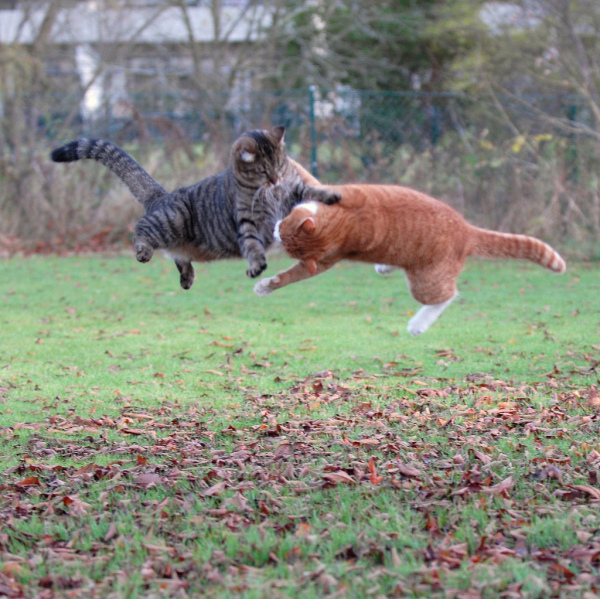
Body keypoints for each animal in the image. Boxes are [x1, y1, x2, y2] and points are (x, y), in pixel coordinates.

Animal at [49, 125, 340, 290]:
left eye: (279, 165)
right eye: (262, 169)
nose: (275, 179)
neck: (271, 192)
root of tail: (163, 196)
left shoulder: (293, 192)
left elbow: (311, 191)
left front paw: (332, 195)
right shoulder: (246, 218)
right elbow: (252, 244)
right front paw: (256, 265)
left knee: (178, 256)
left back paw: (187, 278)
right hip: (170, 221)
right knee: (141, 228)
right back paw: (144, 251)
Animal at [255, 184, 564, 332]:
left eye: (284, 227)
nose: (275, 229)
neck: (342, 224)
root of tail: (467, 230)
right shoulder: (325, 260)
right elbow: (288, 276)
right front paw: (267, 285)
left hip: (425, 281)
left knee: (447, 296)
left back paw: (418, 325)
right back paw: (384, 267)